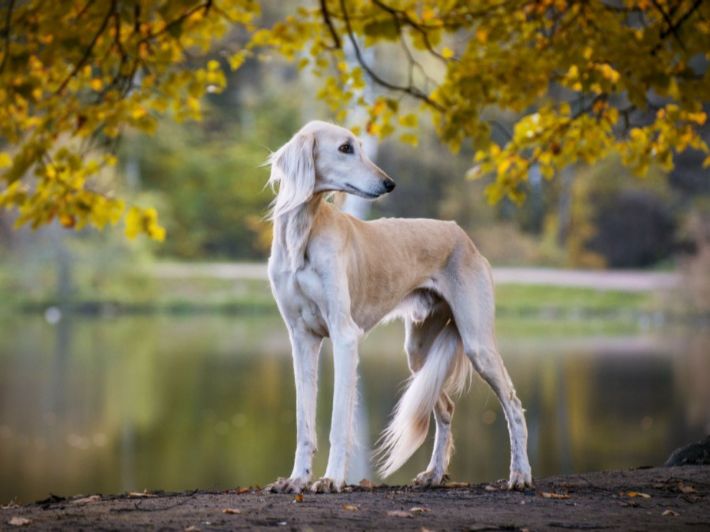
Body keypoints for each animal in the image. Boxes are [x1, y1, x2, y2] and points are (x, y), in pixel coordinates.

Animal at [268, 120, 536, 494]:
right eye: (345, 148)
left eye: (360, 147)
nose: (389, 183)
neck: (302, 233)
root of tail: (462, 235)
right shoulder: (301, 338)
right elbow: (303, 423)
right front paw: (297, 479)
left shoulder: (344, 335)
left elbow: (339, 422)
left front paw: (332, 478)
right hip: (418, 351)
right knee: (446, 407)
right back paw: (434, 473)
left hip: (477, 342)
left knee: (512, 403)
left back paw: (520, 473)